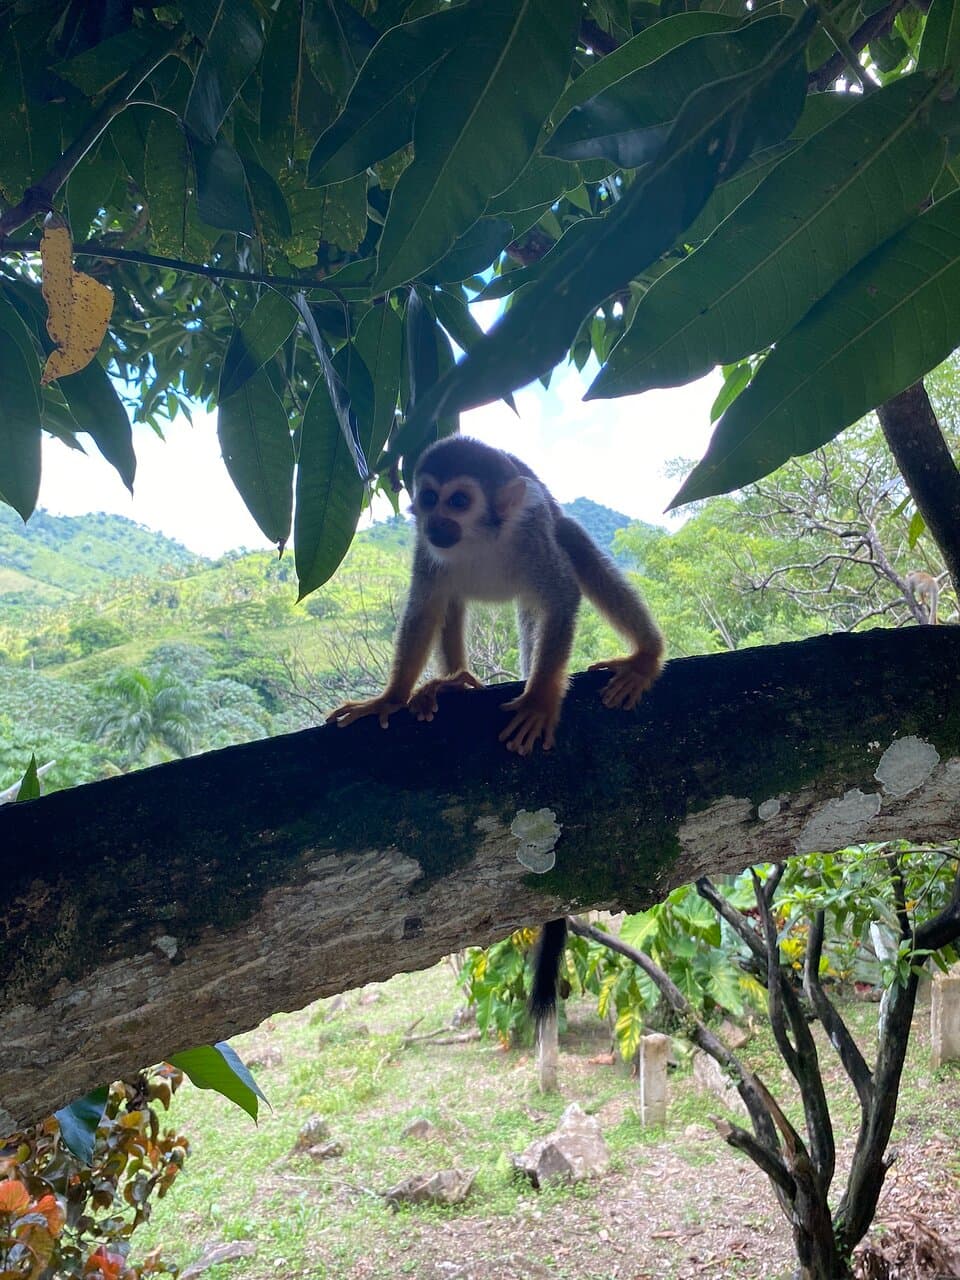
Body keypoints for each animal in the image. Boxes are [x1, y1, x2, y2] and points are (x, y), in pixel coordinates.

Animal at [326, 435, 665, 753]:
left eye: (459, 501)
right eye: (429, 498)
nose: (435, 520)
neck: (480, 538)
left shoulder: (531, 535)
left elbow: (563, 597)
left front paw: (538, 701)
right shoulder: (426, 546)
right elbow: (424, 610)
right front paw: (390, 699)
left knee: (576, 545)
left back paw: (646, 656)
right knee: (450, 600)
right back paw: (454, 683)